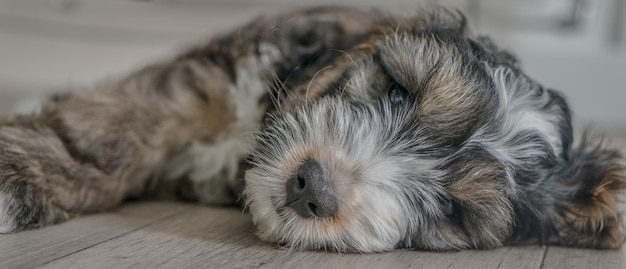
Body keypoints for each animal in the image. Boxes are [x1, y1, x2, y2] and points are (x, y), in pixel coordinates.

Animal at [1, 6, 624, 253]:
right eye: (398, 92)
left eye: (455, 211)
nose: (313, 188)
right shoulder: (205, 79)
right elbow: (110, 130)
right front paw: (16, 179)